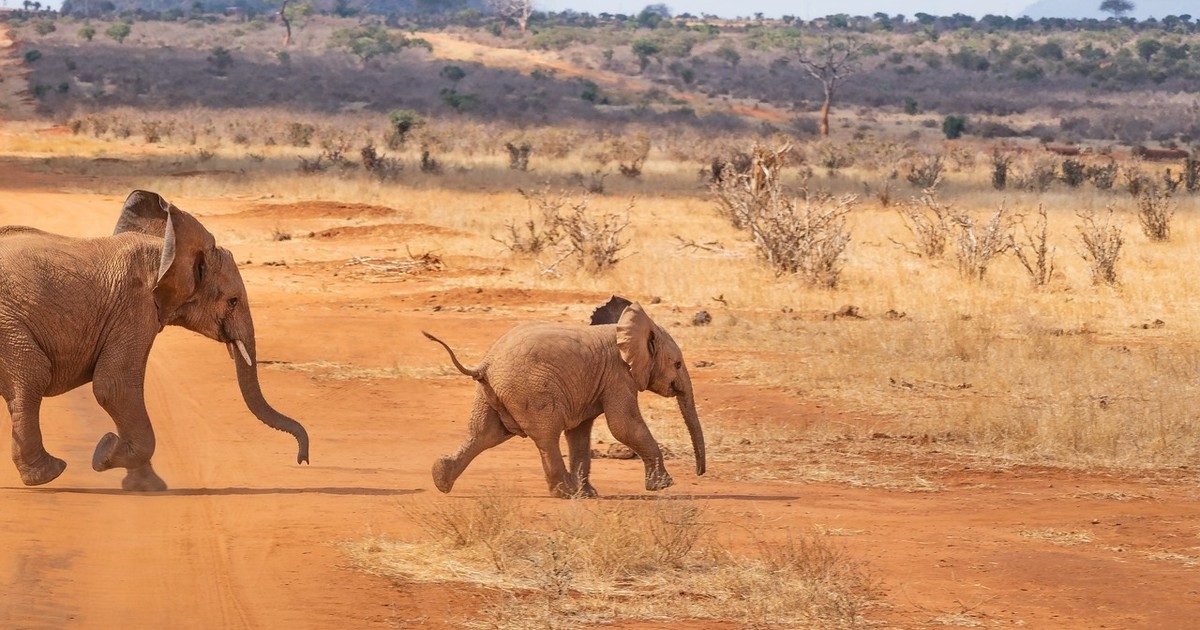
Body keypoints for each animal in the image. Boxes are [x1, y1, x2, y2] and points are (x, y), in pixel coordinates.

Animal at [1, 189, 309, 489]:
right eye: (233, 301)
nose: (302, 460)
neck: (165, 250)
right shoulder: (134, 306)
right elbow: (115, 385)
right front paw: (104, 453)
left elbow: (118, 389)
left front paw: (144, 484)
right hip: (8, 325)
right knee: (34, 374)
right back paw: (49, 473)